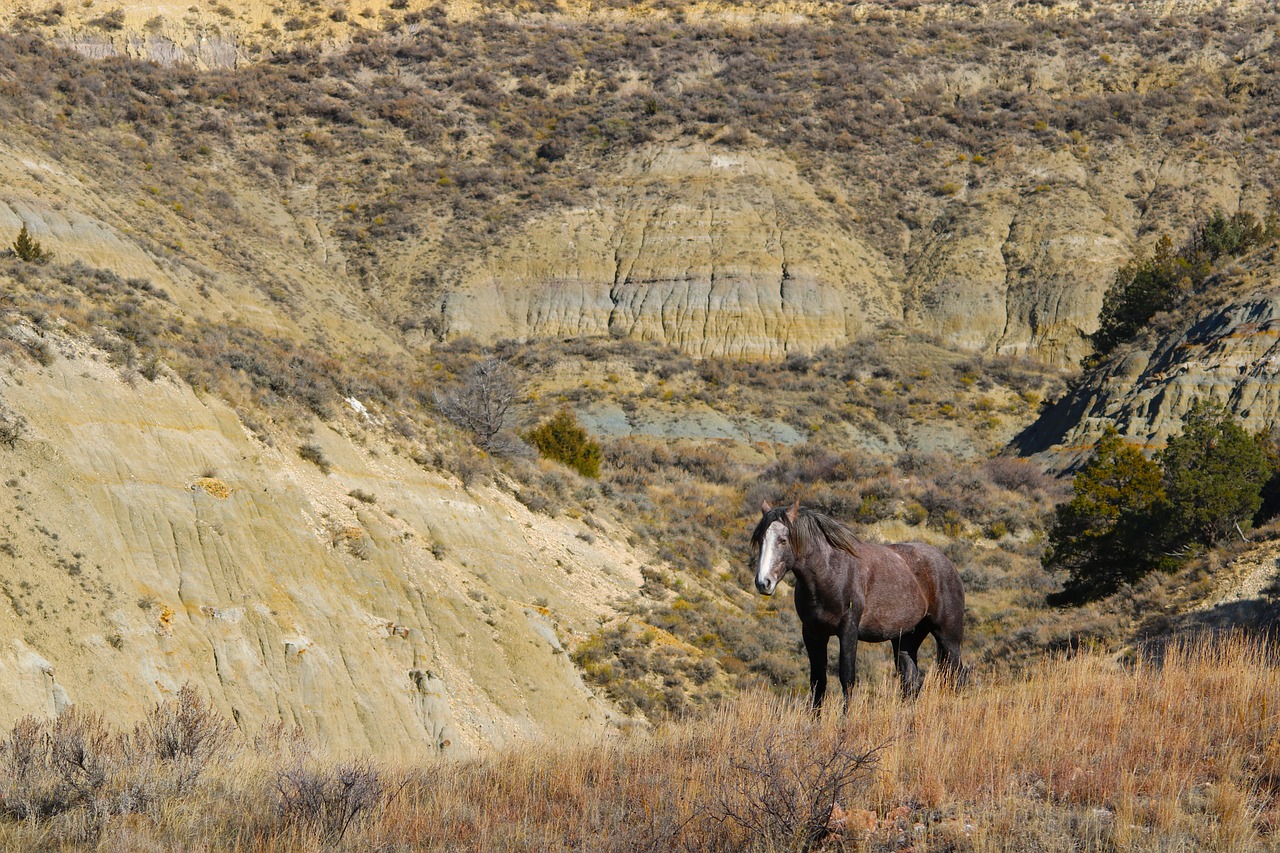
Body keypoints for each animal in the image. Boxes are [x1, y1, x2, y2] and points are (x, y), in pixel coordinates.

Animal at [747, 499, 962, 701]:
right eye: (760, 539)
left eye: (783, 540)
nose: (763, 582)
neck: (831, 573)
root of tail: (948, 564)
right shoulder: (812, 633)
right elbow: (818, 682)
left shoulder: (848, 630)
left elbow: (847, 678)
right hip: (906, 640)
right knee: (910, 683)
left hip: (948, 638)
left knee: (955, 677)